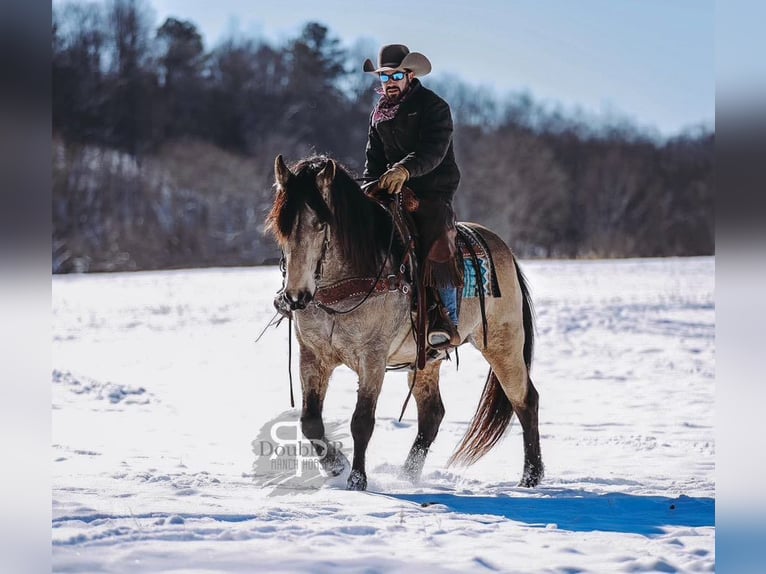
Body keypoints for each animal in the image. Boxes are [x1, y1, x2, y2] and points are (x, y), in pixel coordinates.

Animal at [268, 155, 544, 492]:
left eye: (321, 223)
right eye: (280, 227)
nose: (295, 296)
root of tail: (503, 249)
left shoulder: (372, 357)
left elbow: (362, 421)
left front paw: (357, 481)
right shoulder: (312, 355)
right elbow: (310, 422)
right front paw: (337, 466)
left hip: (503, 345)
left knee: (525, 400)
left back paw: (530, 477)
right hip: (426, 359)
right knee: (432, 414)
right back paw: (408, 475)